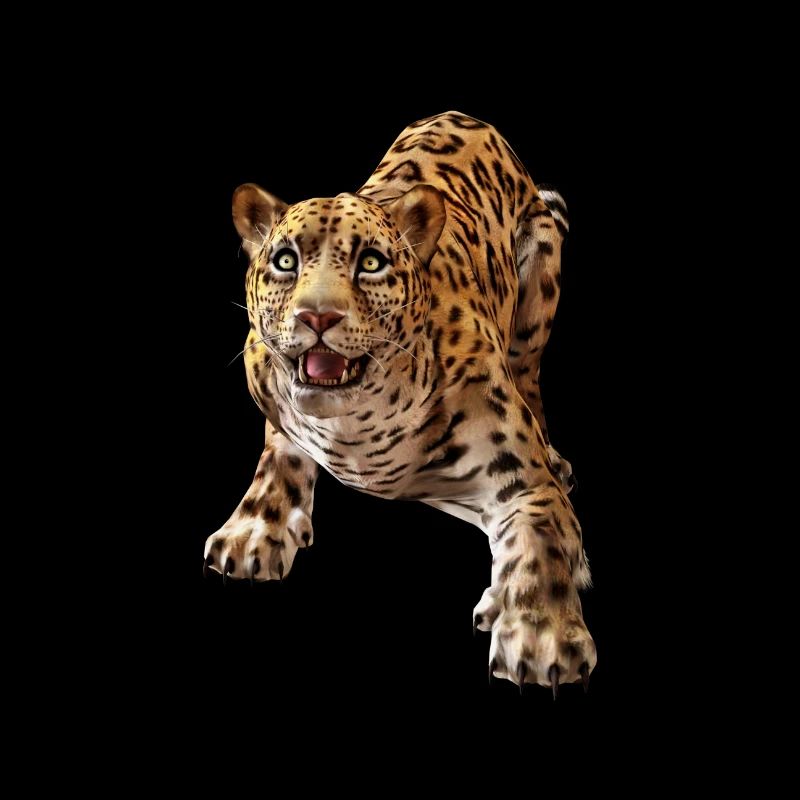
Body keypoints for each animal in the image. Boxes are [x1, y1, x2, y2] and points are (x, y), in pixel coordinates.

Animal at [203, 111, 596, 695]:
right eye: (285, 260)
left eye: (371, 262)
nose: (317, 316)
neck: (355, 427)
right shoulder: (272, 395)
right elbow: (279, 454)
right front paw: (252, 529)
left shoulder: (523, 480)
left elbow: (543, 536)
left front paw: (541, 635)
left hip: (539, 287)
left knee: (531, 381)